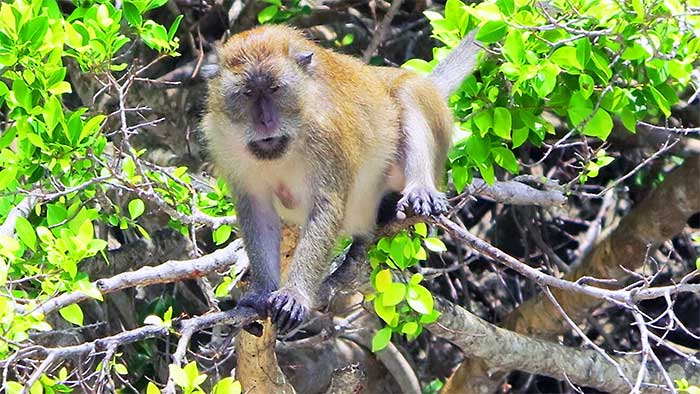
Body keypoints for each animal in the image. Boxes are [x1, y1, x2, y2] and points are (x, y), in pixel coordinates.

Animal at [202, 25, 482, 332]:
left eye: (275, 89)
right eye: (248, 93)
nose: (265, 122)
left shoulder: (328, 133)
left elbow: (326, 207)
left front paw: (294, 295)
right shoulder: (224, 144)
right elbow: (257, 212)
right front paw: (261, 291)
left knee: (408, 92)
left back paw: (418, 190)